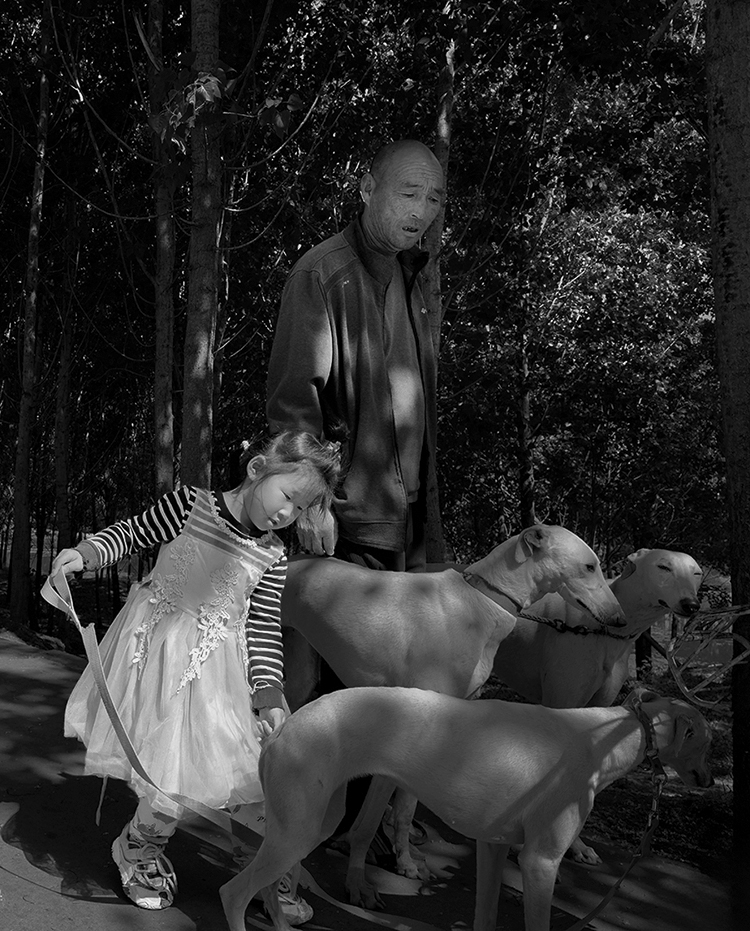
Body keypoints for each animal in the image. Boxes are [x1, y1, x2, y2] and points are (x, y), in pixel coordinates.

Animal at [219, 685, 712, 931]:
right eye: (707, 739)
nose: (710, 781)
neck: (602, 738)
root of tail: (279, 730)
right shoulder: (540, 862)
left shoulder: (493, 847)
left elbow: (486, 916)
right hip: (298, 830)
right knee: (234, 893)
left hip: (314, 824)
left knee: (266, 888)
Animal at [279, 525, 625, 893]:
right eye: (590, 566)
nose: (620, 619)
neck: (483, 601)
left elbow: (405, 808)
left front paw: (405, 862)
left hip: (299, 671)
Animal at [491, 546, 702, 863]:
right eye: (664, 566)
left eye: (697, 572)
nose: (691, 605)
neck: (604, 626)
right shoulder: (562, 702)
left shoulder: (601, 705)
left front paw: (578, 846)